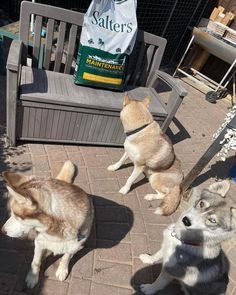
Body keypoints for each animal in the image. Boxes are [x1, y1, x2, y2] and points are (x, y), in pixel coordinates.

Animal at [1, 162, 94, 290]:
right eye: (11, 213)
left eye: (17, 216)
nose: (2, 231)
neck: (56, 231)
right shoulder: (39, 242)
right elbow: (35, 262)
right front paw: (33, 277)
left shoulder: (75, 245)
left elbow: (66, 257)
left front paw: (62, 270)